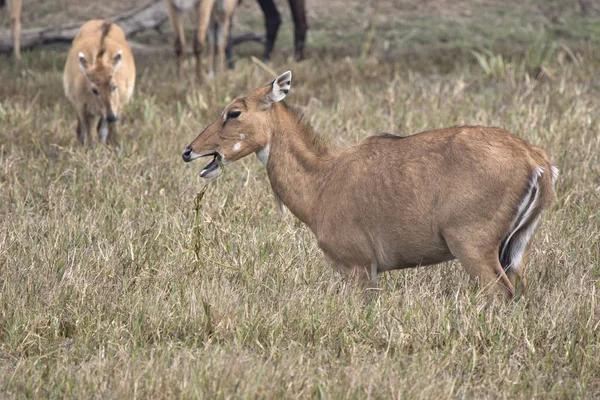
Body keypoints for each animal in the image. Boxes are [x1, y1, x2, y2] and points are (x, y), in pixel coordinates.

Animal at [182, 72, 556, 298]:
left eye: (233, 112)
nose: (189, 151)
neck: (321, 182)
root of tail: (536, 161)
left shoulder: (358, 266)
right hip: (517, 247)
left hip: (473, 245)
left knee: (500, 294)